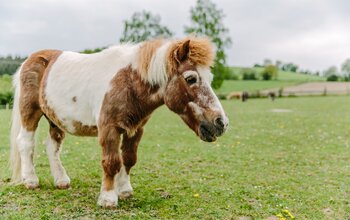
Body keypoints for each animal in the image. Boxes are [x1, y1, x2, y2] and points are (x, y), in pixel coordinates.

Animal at [9, 36, 228, 208]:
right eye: (191, 78)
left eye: (210, 78)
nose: (221, 123)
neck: (129, 82)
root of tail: (29, 60)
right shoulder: (109, 129)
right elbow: (111, 162)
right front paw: (108, 198)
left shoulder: (136, 129)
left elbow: (129, 159)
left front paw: (124, 190)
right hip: (30, 112)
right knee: (25, 143)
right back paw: (31, 180)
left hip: (55, 118)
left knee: (52, 146)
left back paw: (61, 180)